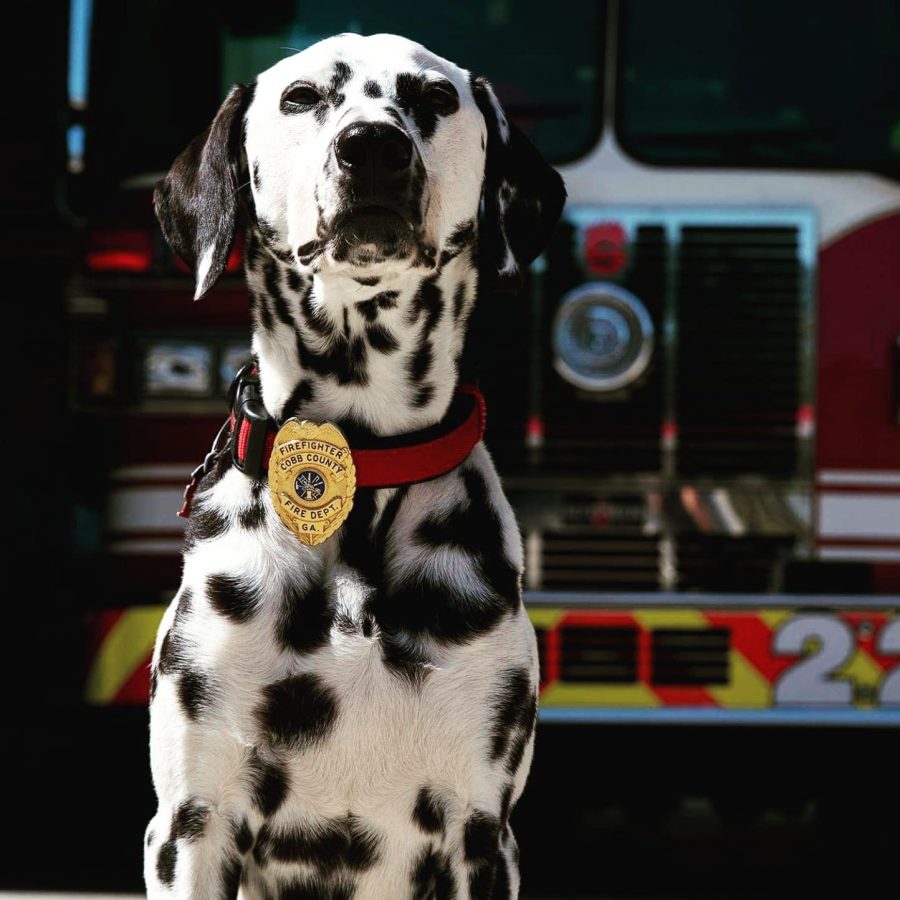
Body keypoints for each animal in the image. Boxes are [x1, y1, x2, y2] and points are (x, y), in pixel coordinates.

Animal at [146, 31, 564, 896]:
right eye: (302, 96)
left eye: (434, 97)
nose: (373, 146)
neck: (360, 466)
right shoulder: (190, 823)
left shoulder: (483, 829)